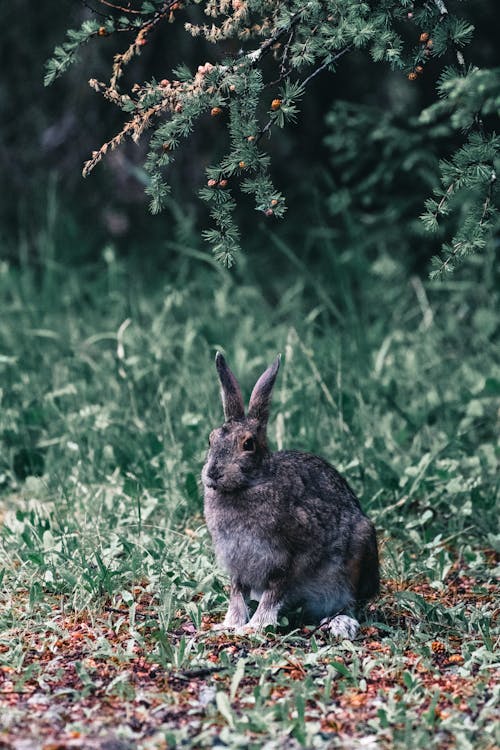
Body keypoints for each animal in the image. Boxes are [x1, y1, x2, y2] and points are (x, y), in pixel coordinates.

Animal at [200, 354, 378, 640]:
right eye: (210, 440)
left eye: (248, 444)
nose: (213, 473)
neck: (250, 485)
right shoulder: (236, 564)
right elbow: (237, 594)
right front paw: (230, 624)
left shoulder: (289, 559)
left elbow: (273, 594)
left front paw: (255, 627)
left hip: (357, 555)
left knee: (349, 603)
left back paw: (340, 623)